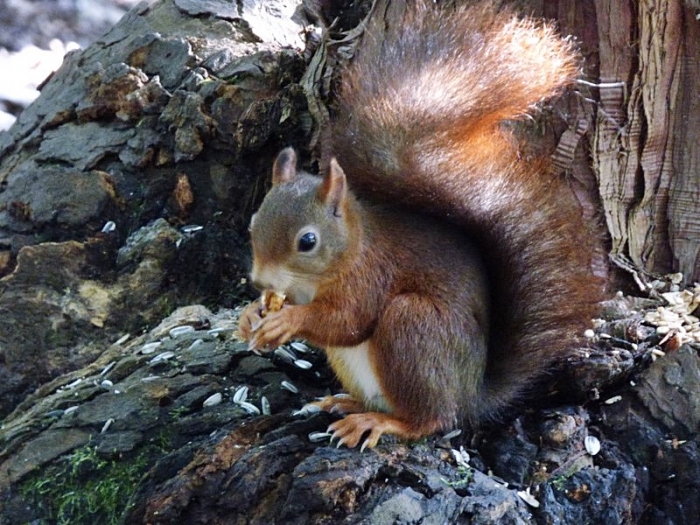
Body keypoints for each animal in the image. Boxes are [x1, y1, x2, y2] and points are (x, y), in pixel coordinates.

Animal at [238, 0, 603, 450]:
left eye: (307, 241)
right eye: (254, 222)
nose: (260, 280)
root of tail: (470, 395)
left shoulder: (370, 277)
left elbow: (347, 321)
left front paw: (287, 320)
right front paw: (249, 316)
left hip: (413, 327)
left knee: (431, 419)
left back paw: (377, 422)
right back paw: (344, 403)